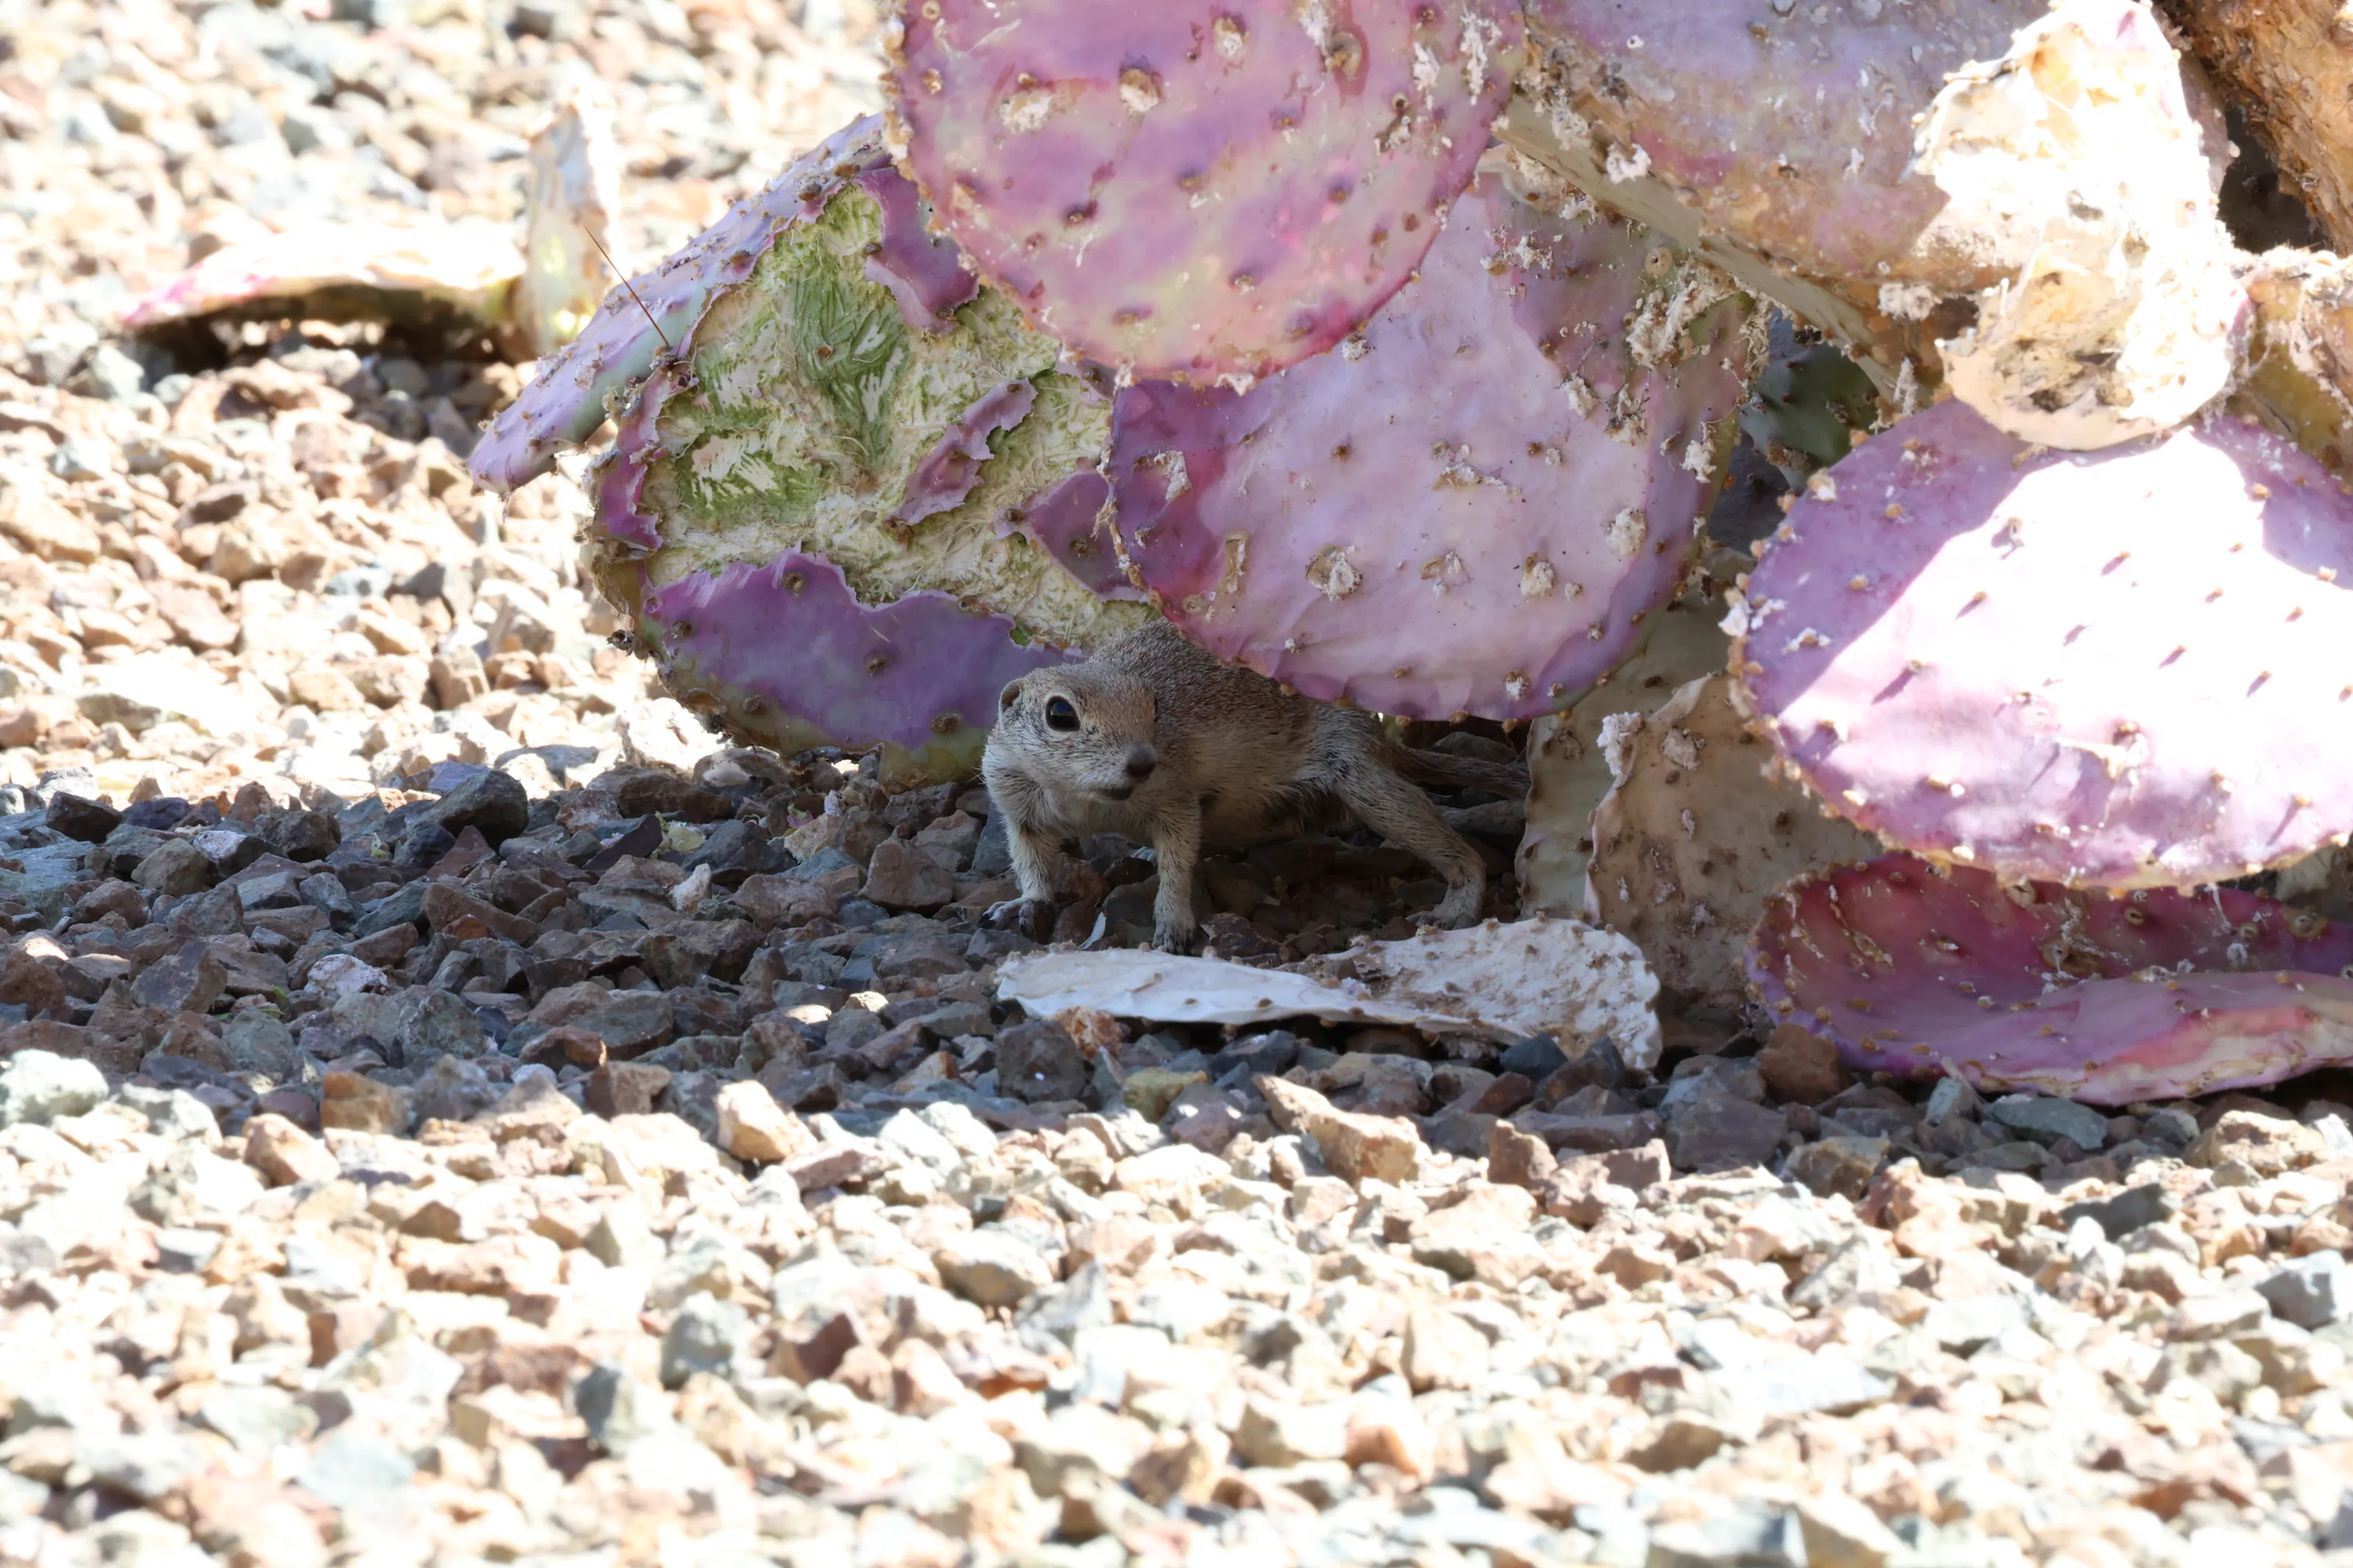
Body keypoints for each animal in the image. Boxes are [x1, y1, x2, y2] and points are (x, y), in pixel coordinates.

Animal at [981, 620, 1526, 951]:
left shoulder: (1176, 796)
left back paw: (1458, 902)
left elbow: (1179, 860)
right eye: (1060, 714)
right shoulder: (1015, 801)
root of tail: (1380, 740)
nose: (1142, 763)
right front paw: (1026, 903)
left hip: (1361, 777)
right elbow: (1030, 859)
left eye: (1154, 707)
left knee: (1453, 846)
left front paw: (1173, 921)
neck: (1084, 795)